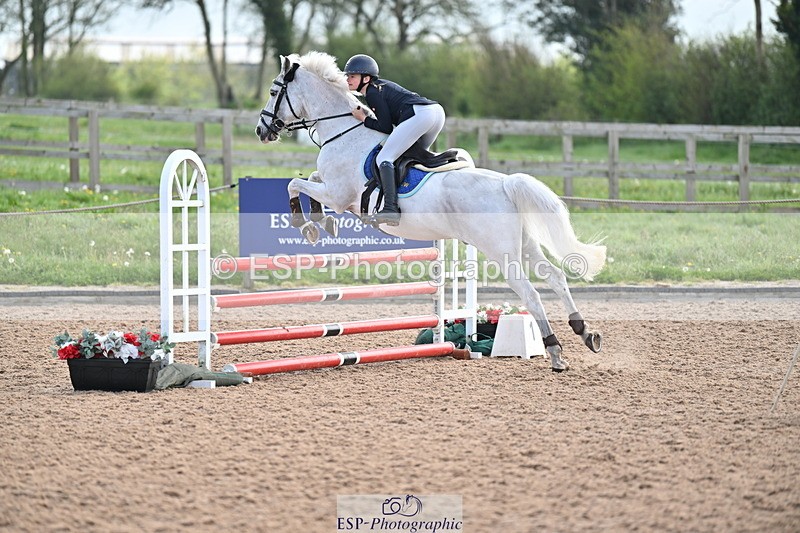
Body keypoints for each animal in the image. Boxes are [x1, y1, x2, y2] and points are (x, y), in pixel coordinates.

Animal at [255, 51, 606, 372]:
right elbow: (309, 180)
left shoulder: (339, 195)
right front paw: (321, 222)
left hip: (501, 252)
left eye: (272, 91)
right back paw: (585, 332)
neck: (343, 131)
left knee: (531, 294)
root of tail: (506, 184)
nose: (261, 131)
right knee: (556, 277)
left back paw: (556, 352)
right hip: (524, 244)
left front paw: (308, 224)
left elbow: (295, 185)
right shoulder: (332, 189)